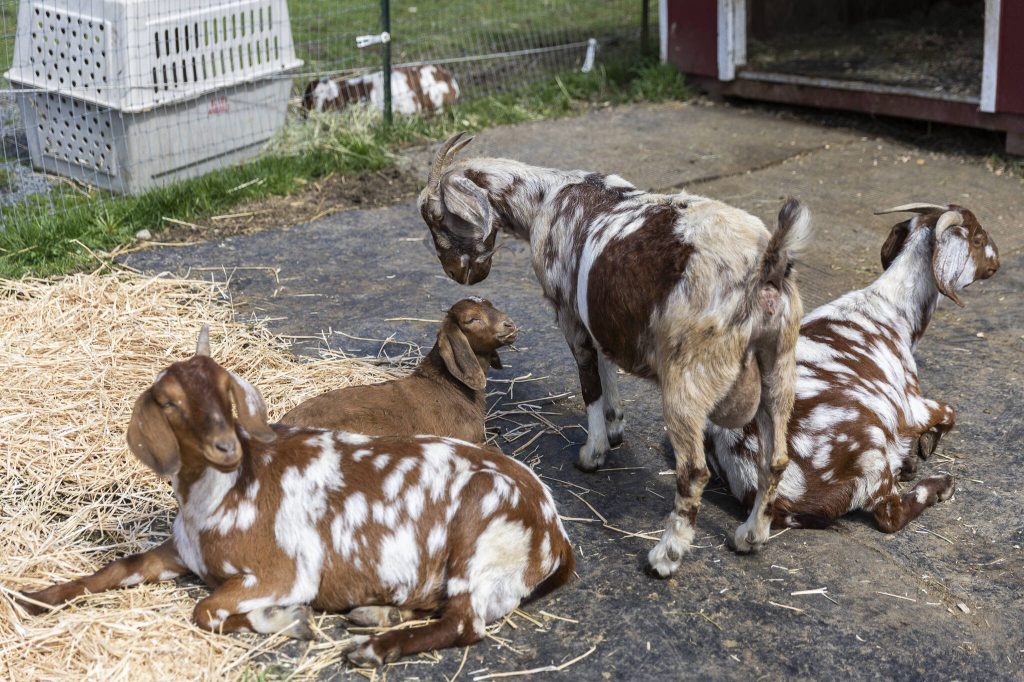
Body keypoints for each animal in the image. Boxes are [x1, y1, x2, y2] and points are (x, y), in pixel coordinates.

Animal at [17, 327, 574, 666]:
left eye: (226, 389)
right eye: (170, 403)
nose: (224, 446)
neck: (221, 495)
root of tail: (553, 529)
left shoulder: (281, 571)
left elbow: (207, 612)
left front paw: (288, 621)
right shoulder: (180, 552)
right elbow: (115, 568)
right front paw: (34, 598)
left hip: (477, 545)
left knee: (465, 622)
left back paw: (373, 648)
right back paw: (375, 616)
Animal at [417, 132, 811, 576]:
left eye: (435, 216)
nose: (455, 273)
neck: (545, 197)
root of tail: (767, 263)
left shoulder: (570, 316)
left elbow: (590, 385)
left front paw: (593, 453)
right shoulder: (599, 314)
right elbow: (607, 370)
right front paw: (616, 425)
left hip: (689, 375)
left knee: (694, 469)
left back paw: (666, 555)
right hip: (779, 364)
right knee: (775, 459)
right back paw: (750, 536)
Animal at [706, 204, 1000, 532]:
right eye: (977, 239)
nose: (997, 261)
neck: (892, 309)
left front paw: (913, 454)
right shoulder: (911, 405)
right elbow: (950, 412)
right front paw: (924, 446)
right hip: (869, 444)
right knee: (890, 512)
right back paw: (940, 485)